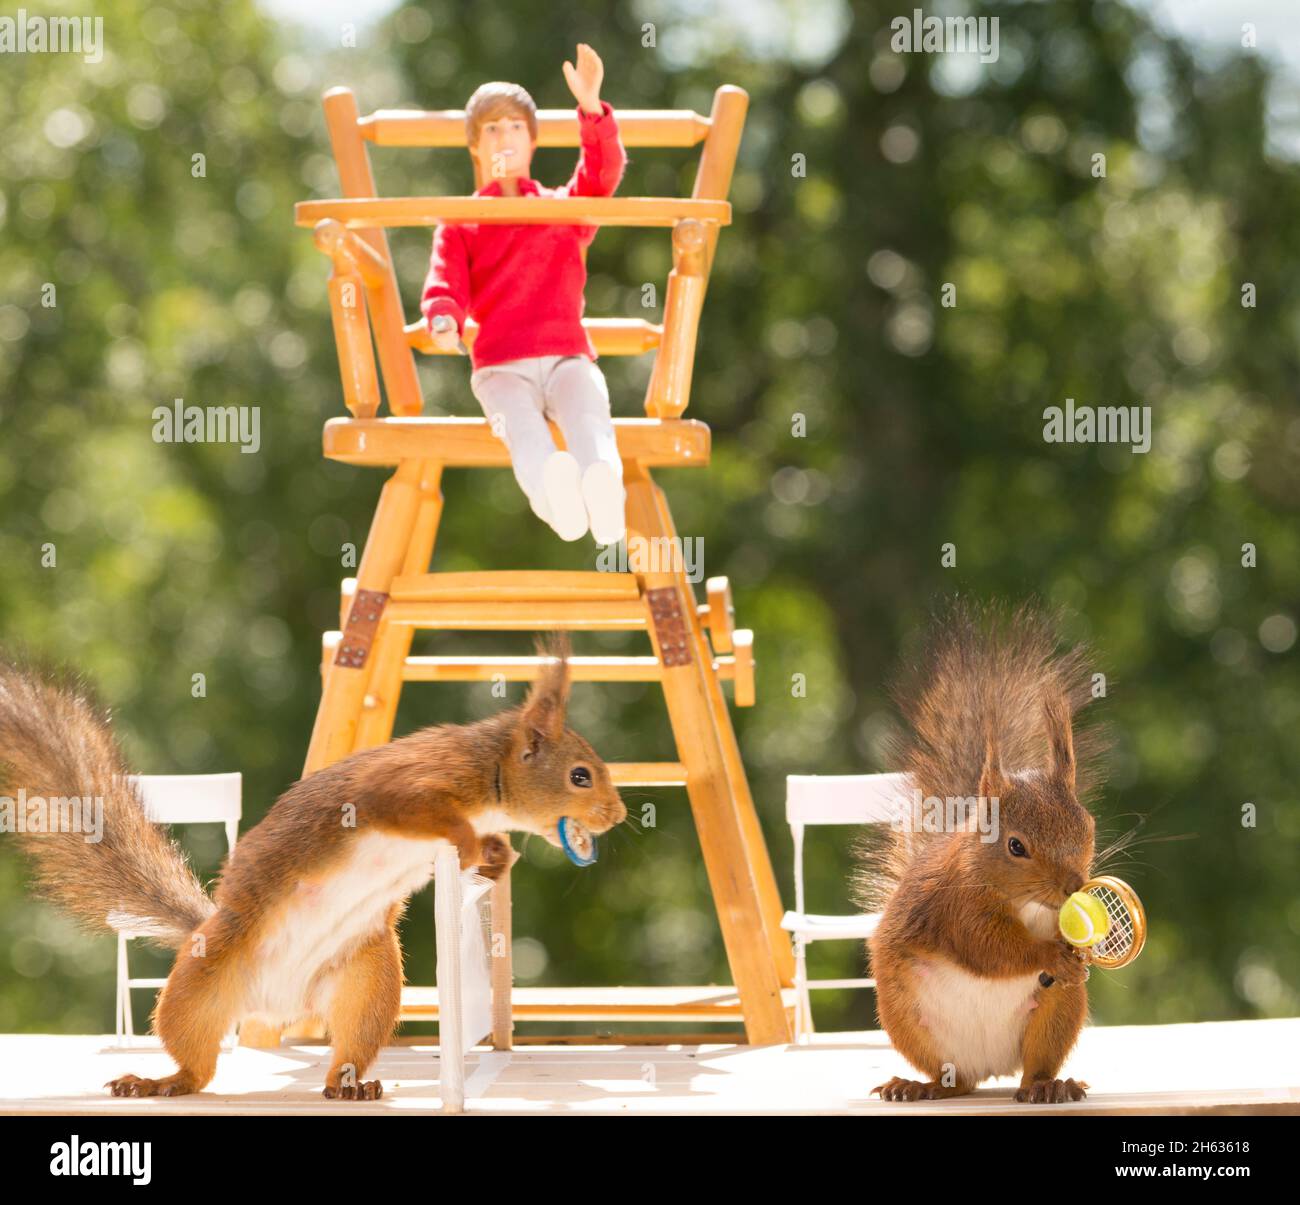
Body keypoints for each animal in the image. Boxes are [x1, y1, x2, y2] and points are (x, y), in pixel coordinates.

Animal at [0, 630, 626, 1100]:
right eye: (580, 776)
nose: (619, 814)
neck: (487, 771)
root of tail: (278, 1008)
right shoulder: (401, 787)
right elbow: (423, 813)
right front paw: (474, 845)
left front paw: (496, 856)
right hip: (200, 981)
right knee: (197, 1065)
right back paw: (160, 1081)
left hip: (369, 982)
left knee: (347, 1048)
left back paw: (350, 1085)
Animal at [852, 600, 1110, 1105]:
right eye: (1016, 846)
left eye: (1088, 826)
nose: (1074, 886)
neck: (1028, 904)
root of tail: (991, 1067)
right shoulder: (957, 907)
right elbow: (988, 949)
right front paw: (1049, 954)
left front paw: (1082, 953)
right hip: (907, 1018)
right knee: (953, 1078)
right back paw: (918, 1086)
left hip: (1057, 1011)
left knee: (1032, 1068)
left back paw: (1049, 1085)